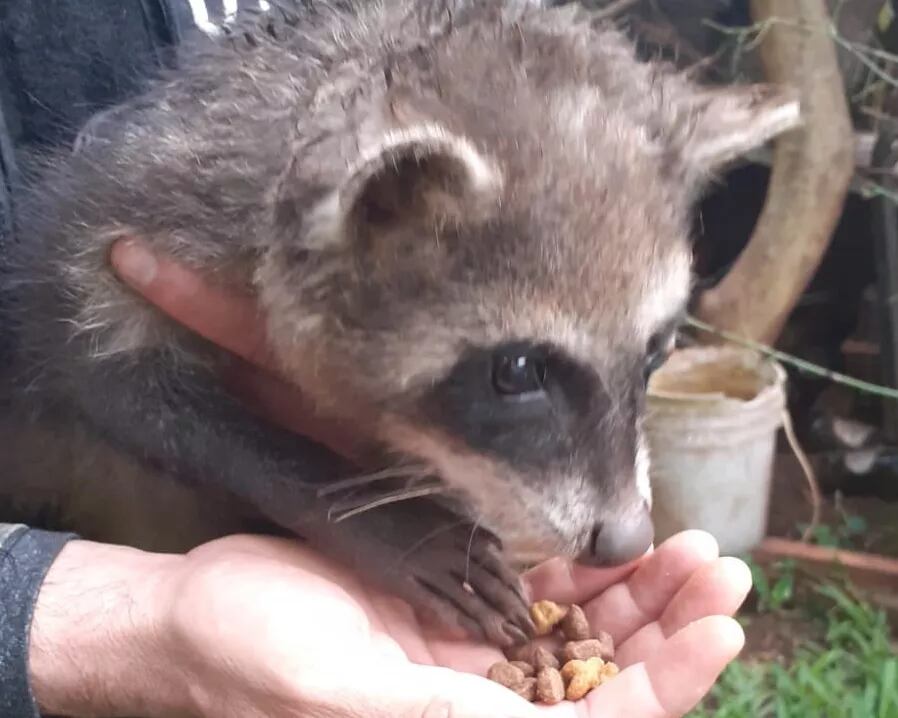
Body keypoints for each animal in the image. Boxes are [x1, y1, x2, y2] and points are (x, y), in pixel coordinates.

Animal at [0, 0, 800, 648]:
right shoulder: (102, 241)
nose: (627, 540)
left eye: (656, 352)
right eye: (518, 370)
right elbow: (118, 391)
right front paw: (364, 509)